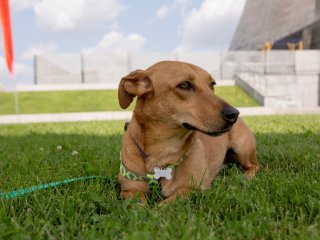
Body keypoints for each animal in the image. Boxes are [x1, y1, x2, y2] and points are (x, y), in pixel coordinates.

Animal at [117, 60, 260, 202]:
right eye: (185, 85)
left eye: (212, 84)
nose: (233, 114)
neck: (162, 153)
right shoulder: (131, 190)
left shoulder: (192, 189)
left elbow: (164, 205)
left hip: (241, 148)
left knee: (255, 165)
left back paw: (245, 177)